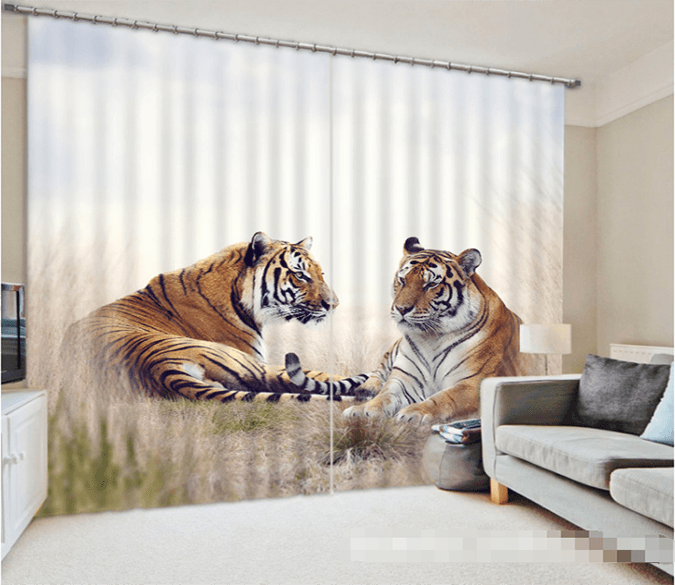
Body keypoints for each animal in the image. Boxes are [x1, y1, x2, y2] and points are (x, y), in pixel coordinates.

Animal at [334, 237, 527, 424]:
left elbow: (443, 398)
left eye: (431, 284)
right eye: (402, 280)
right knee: (379, 370)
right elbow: (385, 395)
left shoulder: (473, 383)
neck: (431, 338)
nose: (401, 309)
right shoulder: (403, 379)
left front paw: (414, 412)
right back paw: (367, 389)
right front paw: (363, 410)